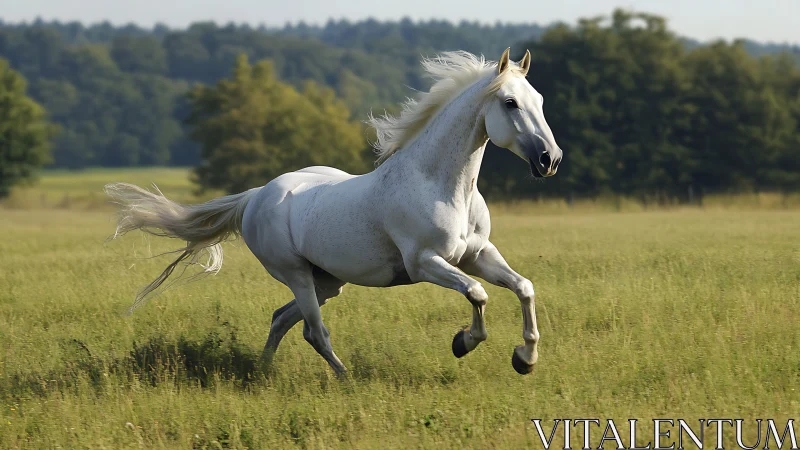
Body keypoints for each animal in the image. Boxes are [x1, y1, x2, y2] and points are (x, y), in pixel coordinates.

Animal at [105, 48, 563, 376]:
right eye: (510, 103)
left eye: (539, 100)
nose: (550, 159)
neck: (440, 185)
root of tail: (255, 196)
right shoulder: (425, 263)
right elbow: (477, 293)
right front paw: (463, 342)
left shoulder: (477, 254)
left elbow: (524, 287)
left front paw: (525, 359)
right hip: (296, 275)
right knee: (315, 331)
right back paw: (345, 378)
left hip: (327, 281)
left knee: (281, 319)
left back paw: (263, 372)